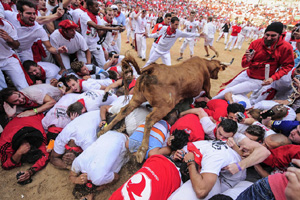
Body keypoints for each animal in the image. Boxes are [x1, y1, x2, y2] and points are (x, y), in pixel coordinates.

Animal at [98, 54, 232, 162]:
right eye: (217, 69)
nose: (216, 77)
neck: (203, 65)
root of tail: (151, 70)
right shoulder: (206, 85)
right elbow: (209, 95)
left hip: (137, 98)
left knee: (124, 111)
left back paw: (103, 130)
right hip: (164, 107)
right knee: (149, 119)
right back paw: (142, 150)